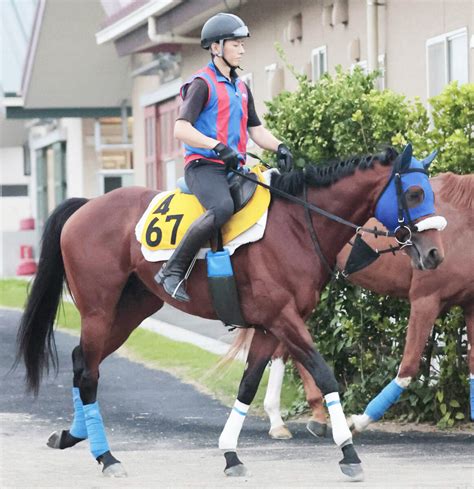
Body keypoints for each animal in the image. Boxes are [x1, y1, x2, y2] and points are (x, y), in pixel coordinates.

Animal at [14, 145, 444, 480]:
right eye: (416, 192)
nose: (435, 254)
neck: (296, 226)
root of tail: (87, 207)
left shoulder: (270, 327)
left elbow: (248, 386)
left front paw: (230, 454)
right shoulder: (283, 318)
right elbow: (324, 374)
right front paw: (348, 451)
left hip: (131, 311)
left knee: (82, 361)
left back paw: (74, 436)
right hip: (99, 310)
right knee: (88, 372)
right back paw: (106, 456)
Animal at [262, 172, 472, 438]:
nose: (434, 254)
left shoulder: (471, 305)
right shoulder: (426, 299)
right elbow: (408, 366)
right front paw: (358, 421)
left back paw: (311, 415)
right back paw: (281, 418)